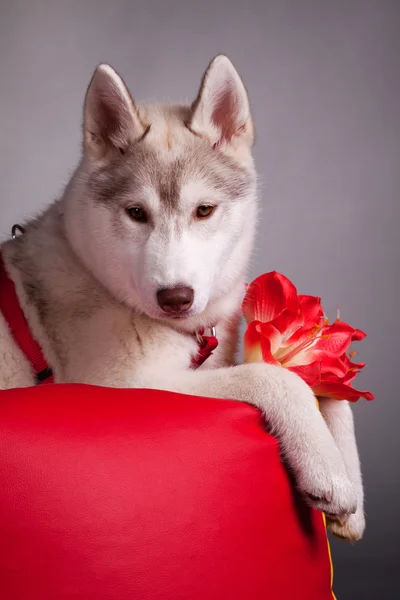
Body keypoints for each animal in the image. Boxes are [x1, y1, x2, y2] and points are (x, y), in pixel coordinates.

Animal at [0, 55, 364, 540]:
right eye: (136, 213)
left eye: (204, 210)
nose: (175, 297)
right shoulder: (129, 385)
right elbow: (274, 377)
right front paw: (328, 470)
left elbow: (329, 391)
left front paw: (349, 491)